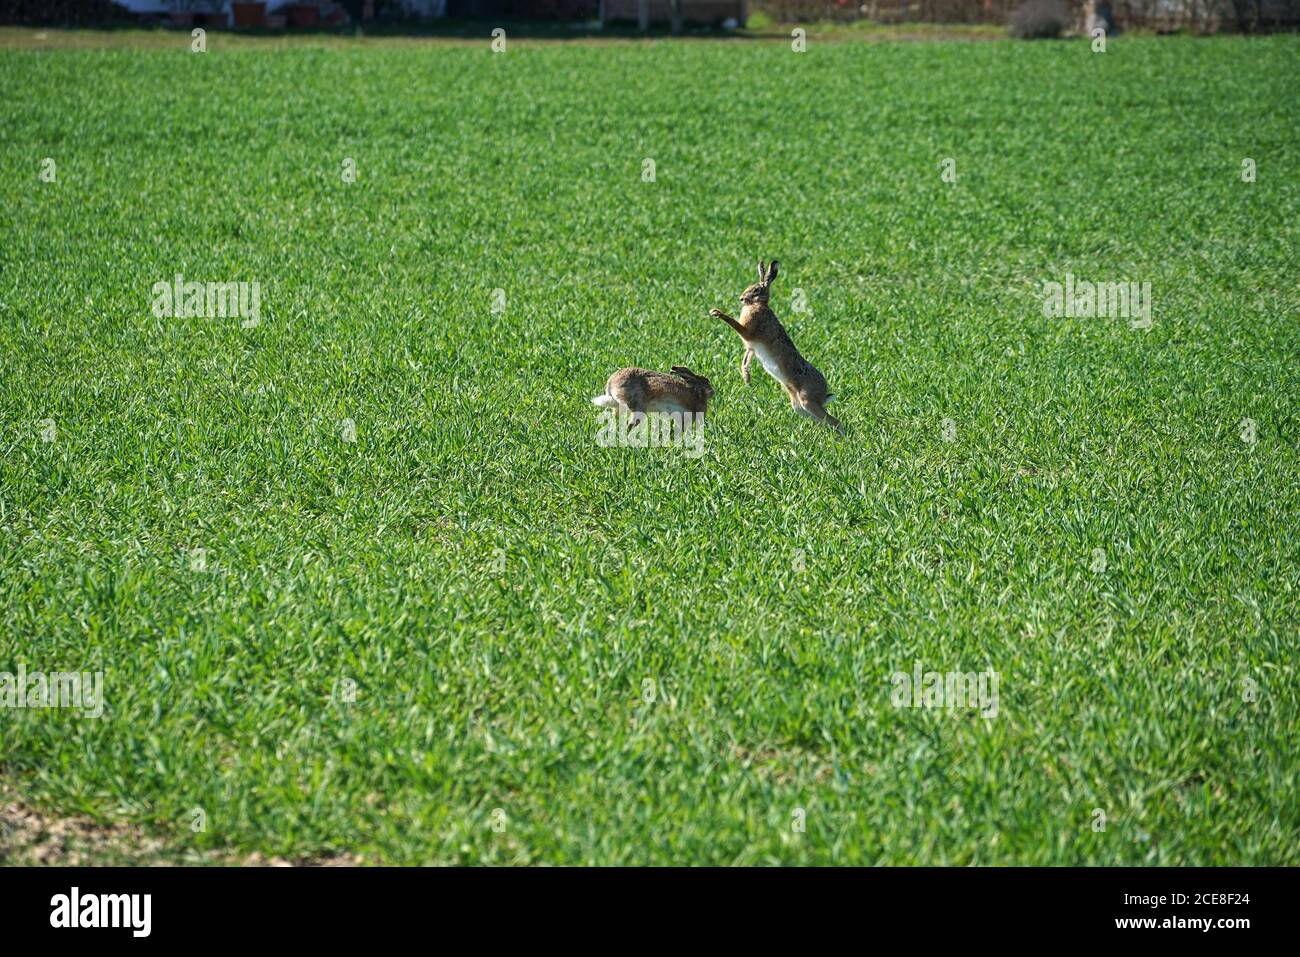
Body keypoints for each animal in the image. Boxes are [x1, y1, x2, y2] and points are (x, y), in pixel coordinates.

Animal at [709, 260, 843, 433]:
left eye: (756, 290)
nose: (741, 298)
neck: (759, 304)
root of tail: (824, 393)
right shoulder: (751, 348)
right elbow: (746, 359)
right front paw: (747, 379)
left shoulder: (748, 331)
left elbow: (734, 324)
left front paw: (717, 313)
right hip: (799, 406)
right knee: (823, 421)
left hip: (807, 400)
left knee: (836, 422)